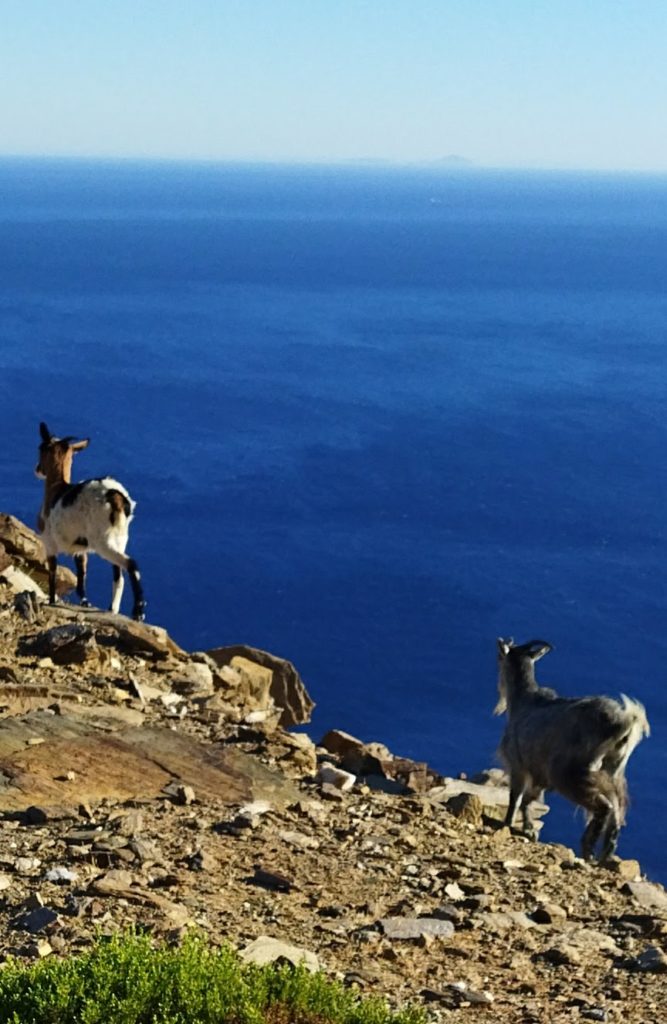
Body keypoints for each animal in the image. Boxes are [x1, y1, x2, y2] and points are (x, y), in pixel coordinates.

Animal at [33, 419, 146, 618]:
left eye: (41, 448)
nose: (37, 469)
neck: (55, 491)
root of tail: (116, 496)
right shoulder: (80, 547)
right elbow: (82, 573)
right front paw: (85, 602)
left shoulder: (49, 542)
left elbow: (53, 571)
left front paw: (52, 601)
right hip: (120, 538)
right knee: (118, 574)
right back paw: (112, 609)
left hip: (103, 540)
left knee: (130, 564)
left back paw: (138, 611)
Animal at [497, 638, 651, 864]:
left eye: (501, 658)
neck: (523, 701)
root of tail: (622, 724)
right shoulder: (540, 775)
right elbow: (529, 799)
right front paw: (528, 829)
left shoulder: (519, 765)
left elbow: (516, 798)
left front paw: (509, 824)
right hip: (613, 773)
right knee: (616, 811)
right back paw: (606, 853)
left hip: (572, 774)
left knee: (604, 807)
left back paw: (588, 849)